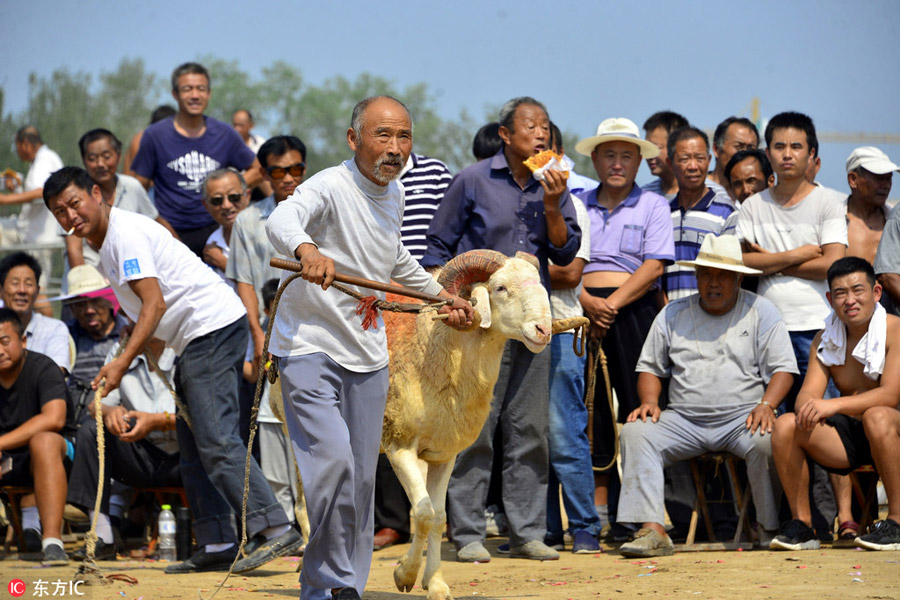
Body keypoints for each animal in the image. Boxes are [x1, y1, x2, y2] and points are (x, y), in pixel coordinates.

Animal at [378, 248, 584, 600]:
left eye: (540, 283)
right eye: (500, 288)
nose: (543, 330)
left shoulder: (443, 454)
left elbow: (438, 517)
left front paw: (435, 584)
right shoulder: (399, 446)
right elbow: (422, 514)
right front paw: (404, 574)